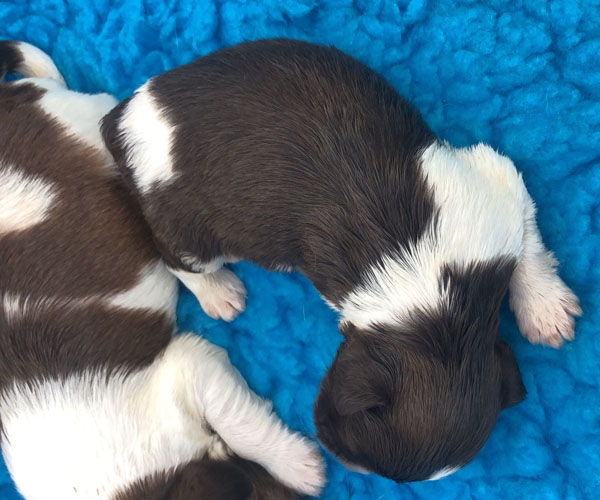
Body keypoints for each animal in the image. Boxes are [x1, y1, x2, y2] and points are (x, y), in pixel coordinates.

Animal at [101, 38, 581, 483]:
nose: (331, 450)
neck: (436, 308)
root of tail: (125, 115)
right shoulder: (491, 177)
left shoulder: (493, 194)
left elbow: (529, 241)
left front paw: (545, 309)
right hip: (188, 225)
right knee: (176, 259)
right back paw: (220, 293)